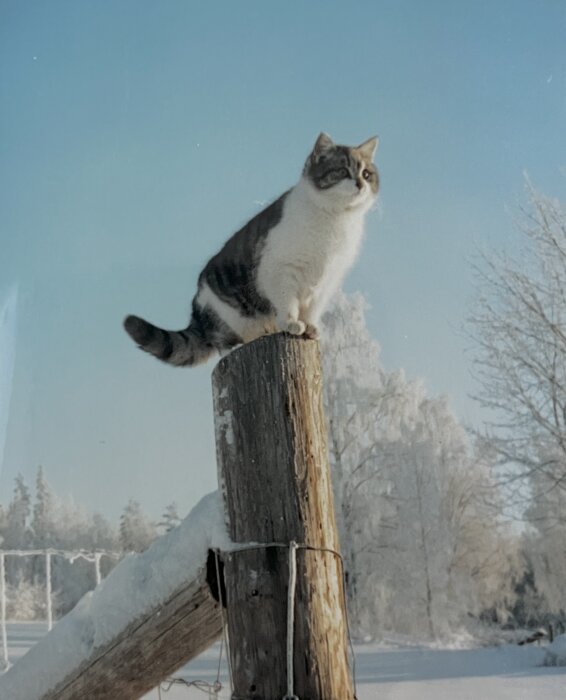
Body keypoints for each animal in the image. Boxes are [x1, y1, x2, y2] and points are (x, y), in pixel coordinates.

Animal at [125, 133, 382, 370]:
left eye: (366, 174)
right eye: (342, 171)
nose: (360, 184)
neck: (335, 221)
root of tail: (196, 312)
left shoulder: (327, 281)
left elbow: (312, 310)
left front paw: (310, 327)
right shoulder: (281, 270)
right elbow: (287, 302)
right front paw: (291, 323)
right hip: (228, 315)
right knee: (221, 343)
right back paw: (236, 345)